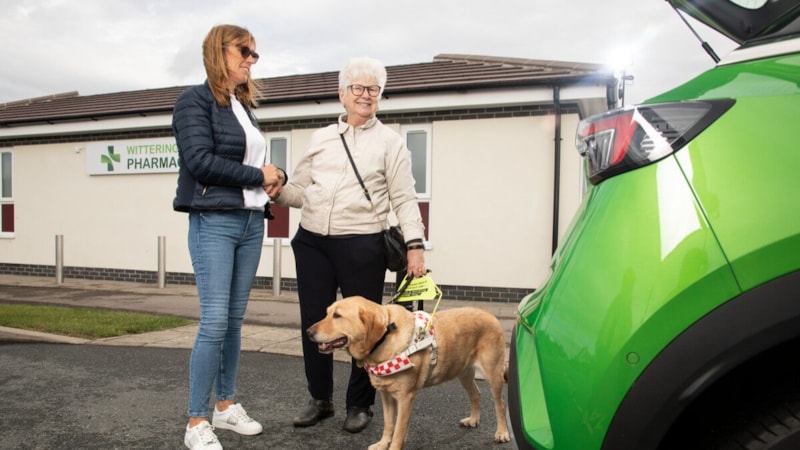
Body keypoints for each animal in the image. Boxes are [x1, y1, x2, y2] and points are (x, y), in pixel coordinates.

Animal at [306, 296, 512, 450]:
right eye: (327, 313)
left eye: (337, 315)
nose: (308, 332)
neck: (385, 338)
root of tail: (490, 314)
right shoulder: (386, 395)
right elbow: (389, 424)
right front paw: (382, 444)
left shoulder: (406, 397)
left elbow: (398, 430)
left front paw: (393, 447)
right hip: (463, 372)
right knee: (476, 394)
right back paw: (474, 419)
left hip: (493, 373)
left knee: (500, 403)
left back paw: (502, 432)